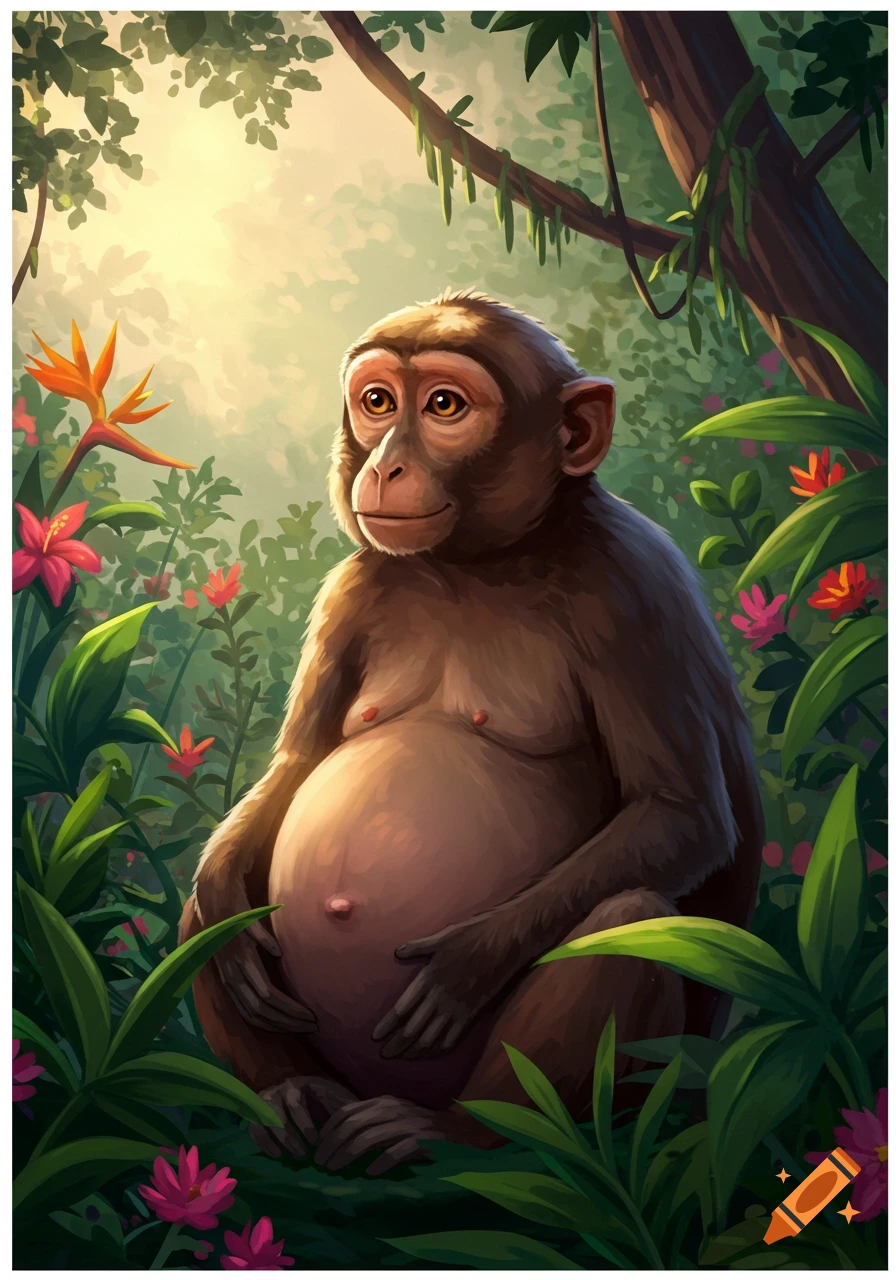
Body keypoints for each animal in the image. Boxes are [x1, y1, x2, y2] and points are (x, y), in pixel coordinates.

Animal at [179, 290, 763, 1176]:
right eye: (377, 401)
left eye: (445, 407)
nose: (385, 464)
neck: (477, 564)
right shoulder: (354, 585)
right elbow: (298, 766)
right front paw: (224, 900)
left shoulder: (633, 589)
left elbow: (682, 814)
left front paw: (468, 961)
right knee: (206, 920)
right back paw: (288, 1093)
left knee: (628, 915)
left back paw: (456, 1137)